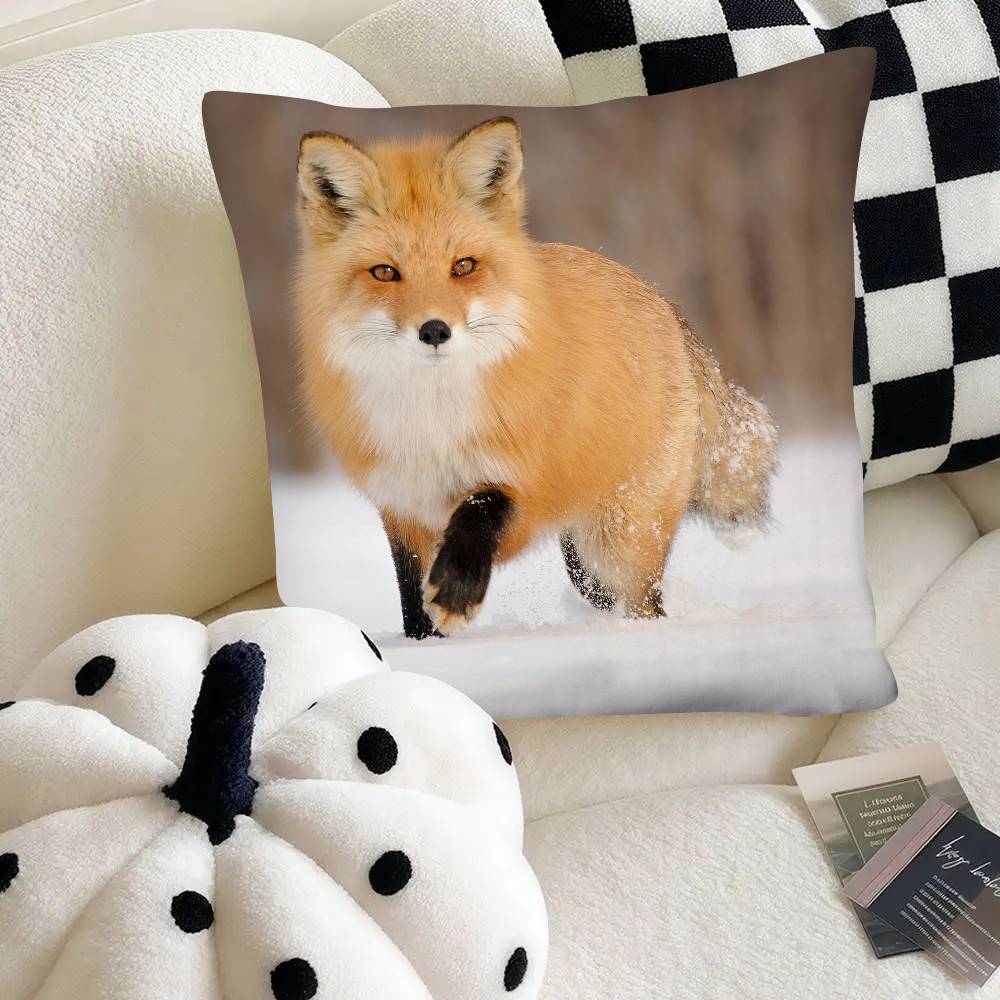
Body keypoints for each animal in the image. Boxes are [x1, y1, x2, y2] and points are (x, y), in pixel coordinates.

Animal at [295, 116, 778, 640]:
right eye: (384, 272)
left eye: (463, 266)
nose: (435, 330)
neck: (433, 424)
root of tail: (663, 303)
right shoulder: (403, 507)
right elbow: (413, 607)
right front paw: (425, 647)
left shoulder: (525, 487)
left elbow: (480, 510)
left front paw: (458, 590)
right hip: (585, 564)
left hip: (619, 546)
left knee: (646, 603)